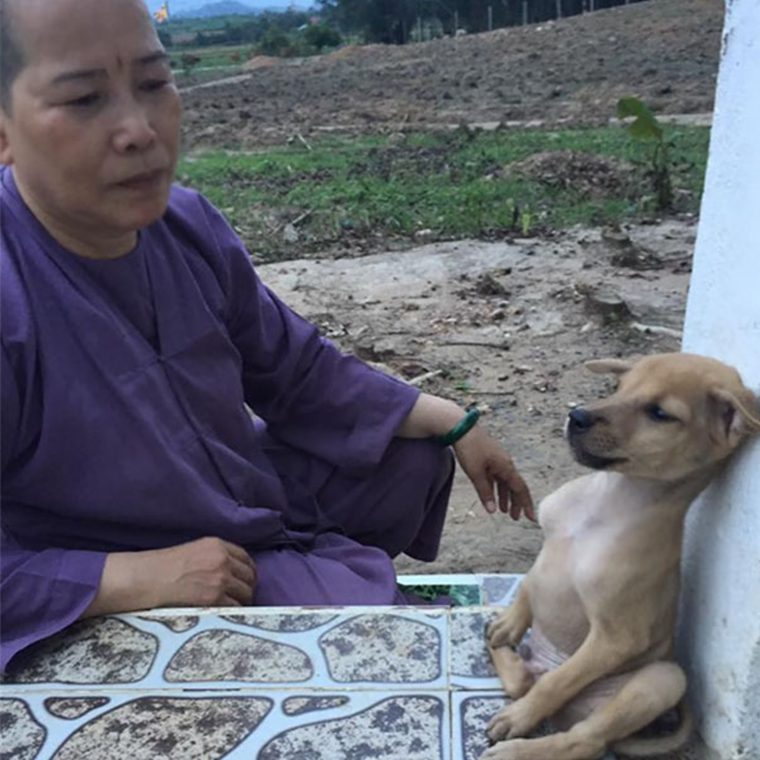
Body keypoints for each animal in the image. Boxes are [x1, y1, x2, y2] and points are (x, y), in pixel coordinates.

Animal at [480, 354, 760, 760]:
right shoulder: (547, 550)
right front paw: (509, 624)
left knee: (582, 734)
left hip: (663, 679)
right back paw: (503, 648)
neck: (606, 500)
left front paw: (519, 718)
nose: (577, 416)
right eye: (620, 388)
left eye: (659, 413)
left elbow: (560, 682)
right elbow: (530, 586)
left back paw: (517, 746)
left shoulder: (616, 638)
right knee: (524, 681)